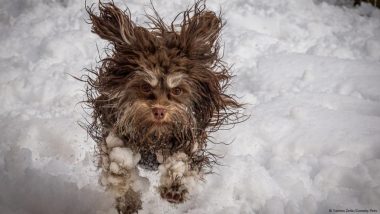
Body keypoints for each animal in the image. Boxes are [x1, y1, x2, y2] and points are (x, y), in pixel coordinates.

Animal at [83, 0, 243, 213]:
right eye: (144, 87)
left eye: (177, 90)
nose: (159, 111)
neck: (154, 135)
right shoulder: (115, 133)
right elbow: (119, 165)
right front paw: (128, 198)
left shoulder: (187, 139)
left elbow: (181, 162)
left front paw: (175, 188)